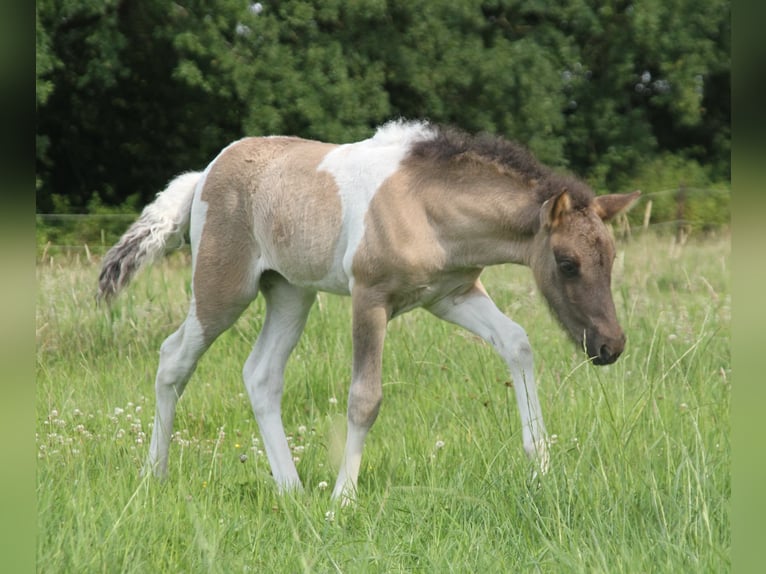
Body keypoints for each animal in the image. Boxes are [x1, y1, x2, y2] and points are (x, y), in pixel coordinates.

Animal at [98, 120, 640, 503]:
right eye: (567, 264)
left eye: (612, 257)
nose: (610, 346)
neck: (426, 206)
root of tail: (204, 175)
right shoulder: (370, 298)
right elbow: (364, 398)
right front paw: (343, 499)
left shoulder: (451, 295)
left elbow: (517, 344)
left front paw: (542, 466)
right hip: (223, 290)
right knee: (174, 360)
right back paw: (154, 476)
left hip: (291, 292)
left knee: (261, 375)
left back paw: (292, 490)